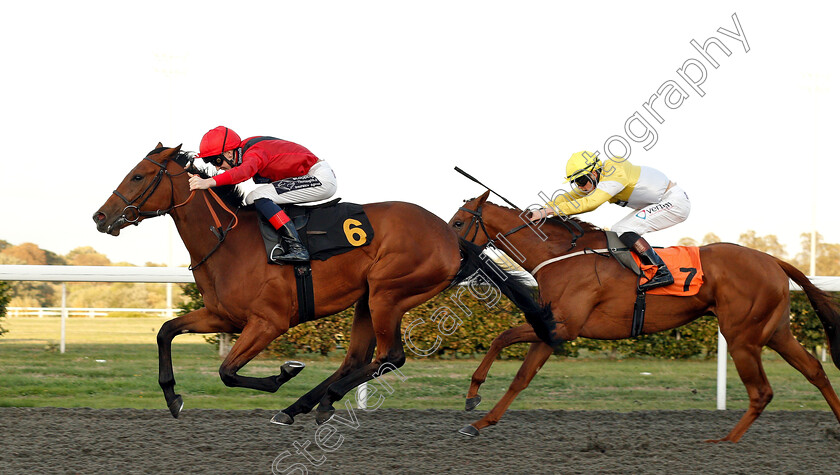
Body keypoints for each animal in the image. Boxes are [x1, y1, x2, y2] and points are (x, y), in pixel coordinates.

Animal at [92, 147, 556, 426]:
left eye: (138, 177)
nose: (100, 217)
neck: (229, 240)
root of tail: (450, 235)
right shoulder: (223, 315)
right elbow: (165, 331)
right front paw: (172, 397)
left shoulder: (269, 322)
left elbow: (227, 372)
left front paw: (283, 373)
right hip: (368, 299)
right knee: (357, 358)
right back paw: (306, 404)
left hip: (389, 293)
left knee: (390, 356)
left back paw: (321, 399)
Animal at [450, 192, 840, 444]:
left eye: (457, 222)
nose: (450, 256)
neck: (560, 255)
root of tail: (773, 260)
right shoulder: (551, 327)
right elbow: (516, 368)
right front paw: (478, 413)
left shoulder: (562, 326)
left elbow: (507, 350)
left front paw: (474, 403)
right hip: (776, 331)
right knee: (814, 370)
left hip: (743, 337)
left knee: (762, 392)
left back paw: (724, 443)